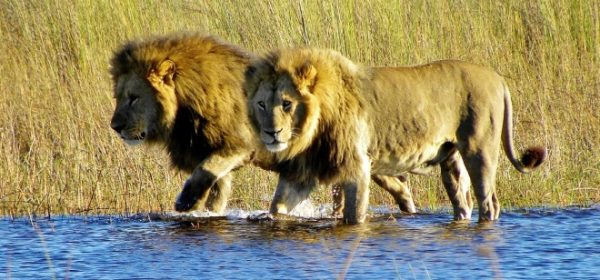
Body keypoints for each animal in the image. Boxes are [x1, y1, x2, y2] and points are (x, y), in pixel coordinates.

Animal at [108, 33, 418, 217]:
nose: (115, 126)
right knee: (397, 184)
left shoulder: (238, 146)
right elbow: (215, 189)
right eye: (119, 97)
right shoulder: (216, 157)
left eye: (134, 98)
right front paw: (202, 211)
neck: (185, 107)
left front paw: (186, 202)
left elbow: (203, 172)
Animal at [245, 47, 548, 223]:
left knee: (489, 203)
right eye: (261, 104)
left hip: (480, 150)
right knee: (463, 202)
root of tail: (497, 77)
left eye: (286, 103)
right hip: (452, 159)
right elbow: (277, 207)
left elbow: (354, 215)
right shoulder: (302, 172)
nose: (272, 133)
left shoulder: (358, 167)